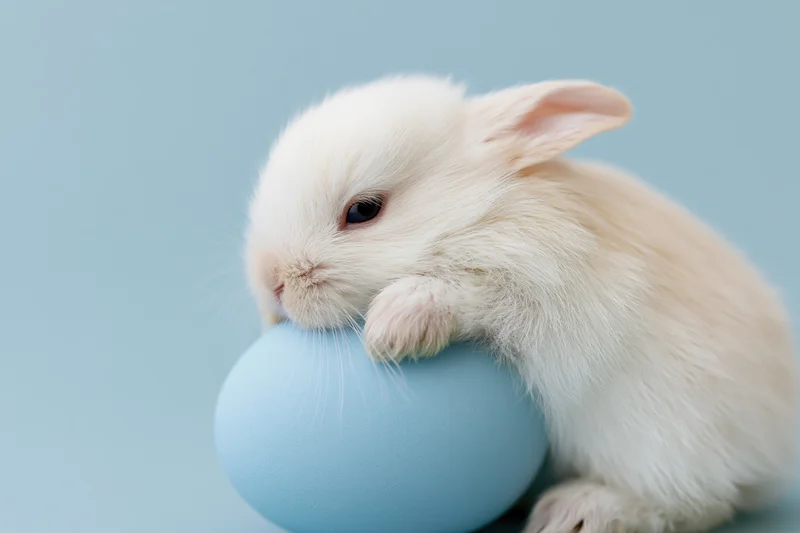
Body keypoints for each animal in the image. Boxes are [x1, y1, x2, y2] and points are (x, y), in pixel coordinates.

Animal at [244, 74, 797, 533]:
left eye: (363, 210)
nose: (271, 282)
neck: (477, 215)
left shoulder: (533, 278)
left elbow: (463, 291)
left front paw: (391, 330)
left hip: (661, 436)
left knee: (698, 503)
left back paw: (580, 512)